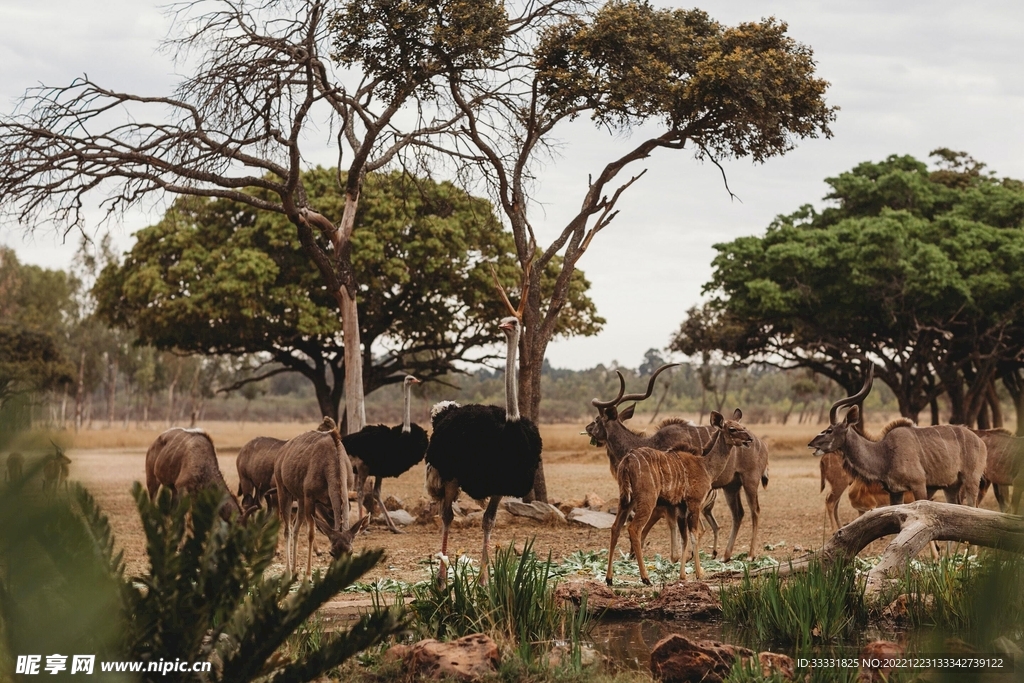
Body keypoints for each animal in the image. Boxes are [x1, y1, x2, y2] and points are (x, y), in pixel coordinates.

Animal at [585, 362, 770, 561]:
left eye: (597, 419)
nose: (587, 428)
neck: (650, 443)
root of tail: (762, 445)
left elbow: (671, 523)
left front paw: (681, 556)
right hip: (731, 486)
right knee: (738, 514)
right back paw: (726, 555)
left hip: (750, 481)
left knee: (755, 511)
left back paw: (750, 554)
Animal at [602, 409, 757, 585]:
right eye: (732, 429)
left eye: (742, 426)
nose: (749, 439)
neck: (705, 465)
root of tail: (627, 460)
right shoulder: (694, 503)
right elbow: (694, 535)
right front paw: (699, 573)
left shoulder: (681, 507)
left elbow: (685, 538)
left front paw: (683, 575)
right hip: (647, 500)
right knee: (634, 529)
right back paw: (645, 578)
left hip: (626, 500)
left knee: (615, 528)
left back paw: (609, 578)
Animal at [806, 368, 983, 507]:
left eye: (829, 430)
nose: (811, 444)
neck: (884, 453)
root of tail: (979, 441)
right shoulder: (895, 492)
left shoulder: (919, 485)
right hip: (951, 486)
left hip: (971, 481)